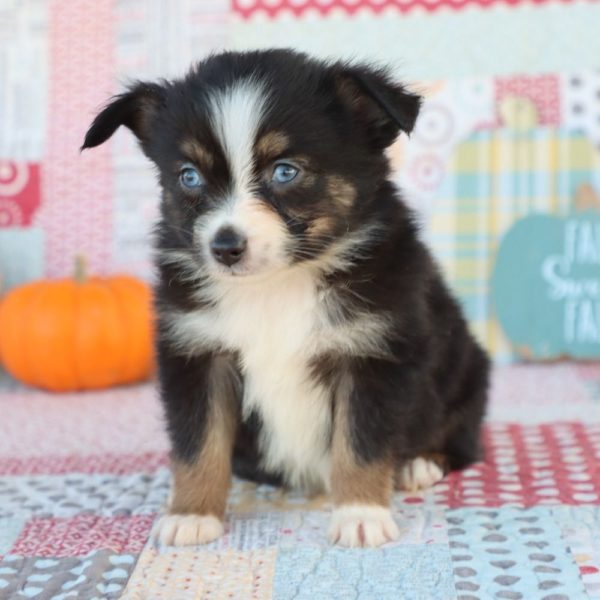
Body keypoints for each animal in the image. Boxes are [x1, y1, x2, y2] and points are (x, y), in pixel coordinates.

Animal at [82, 50, 490, 548]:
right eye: (189, 176)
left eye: (285, 171)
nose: (225, 246)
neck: (276, 285)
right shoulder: (196, 352)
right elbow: (198, 442)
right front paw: (191, 513)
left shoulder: (375, 351)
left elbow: (361, 441)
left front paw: (360, 513)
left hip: (467, 368)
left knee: (461, 436)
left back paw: (419, 464)